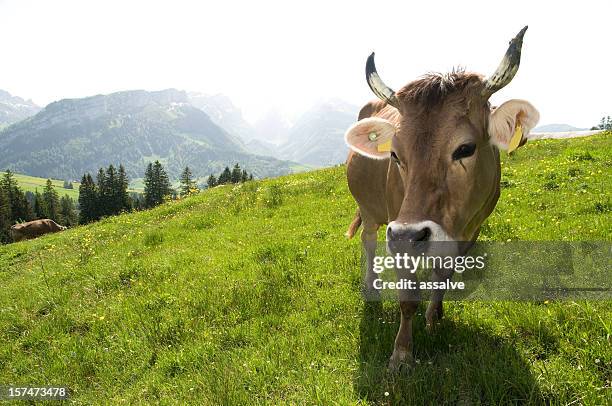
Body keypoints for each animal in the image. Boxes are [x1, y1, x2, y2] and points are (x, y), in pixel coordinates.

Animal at [344, 27, 540, 372]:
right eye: (395, 154)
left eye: (465, 148)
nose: (411, 235)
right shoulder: (399, 232)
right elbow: (408, 297)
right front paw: (402, 354)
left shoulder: (470, 232)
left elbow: (444, 276)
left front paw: (434, 318)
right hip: (369, 211)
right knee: (368, 242)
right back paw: (371, 285)